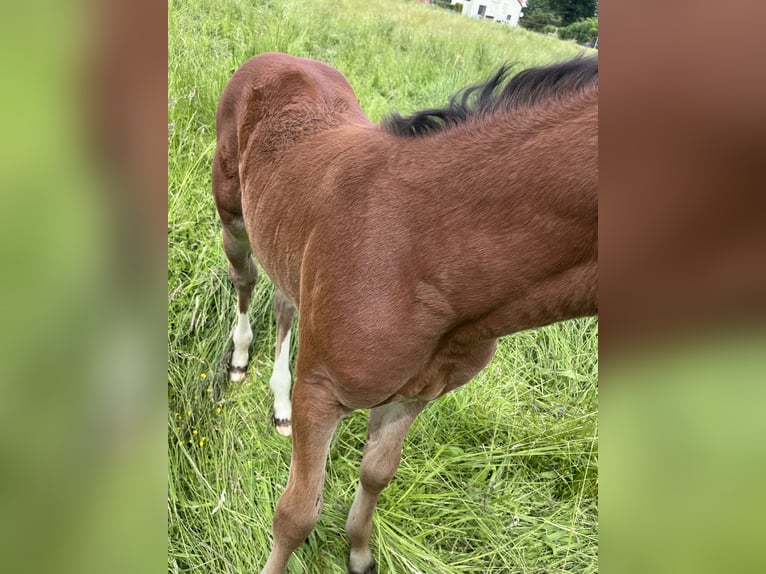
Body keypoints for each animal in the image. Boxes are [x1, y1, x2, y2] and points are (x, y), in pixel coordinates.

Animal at [212, 52, 597, 574]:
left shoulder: (415, 395)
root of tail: (279, 57)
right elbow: (296, 514)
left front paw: (359, 555)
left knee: (286, 301)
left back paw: (279, 403)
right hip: (233, 215)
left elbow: (377, 473)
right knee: (246, 280)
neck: (422, 249)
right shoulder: (321, 391)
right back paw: (238, 359)